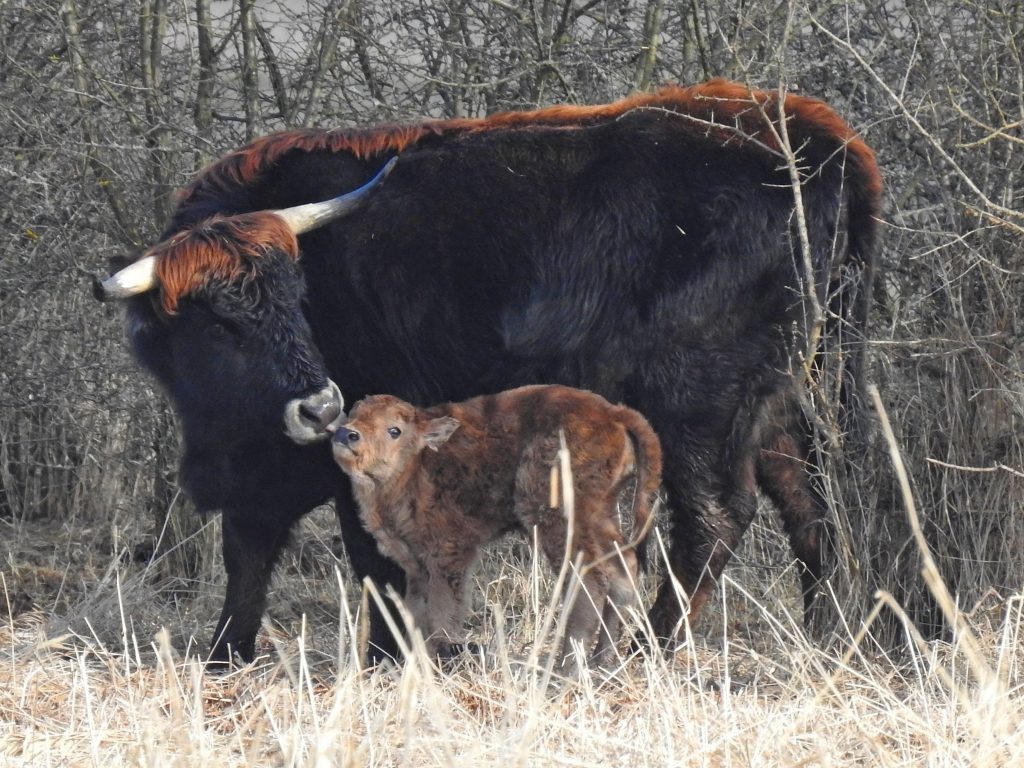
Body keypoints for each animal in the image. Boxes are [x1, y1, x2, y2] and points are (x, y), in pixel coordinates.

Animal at [331, 385, 659, 671]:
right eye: (354, 415)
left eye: (394, 430)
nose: (347, 434)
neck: (417, 463)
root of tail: (614, 412)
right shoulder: (415, 565)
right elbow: (415, 615)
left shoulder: (448, 556)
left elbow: (440, 617)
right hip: (600, 517)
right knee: (623, 571)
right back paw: (602, 664)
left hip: (560, 521)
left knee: (589, 580)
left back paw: (567, 672)